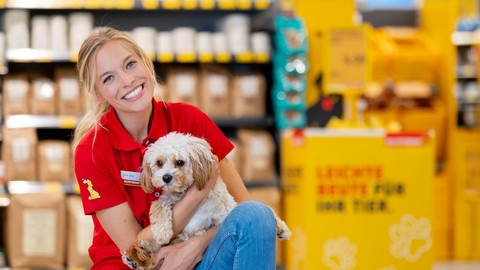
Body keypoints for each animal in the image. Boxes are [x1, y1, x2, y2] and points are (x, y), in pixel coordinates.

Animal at [122, 132, 290, 268]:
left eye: (180, 162)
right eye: (159, 163)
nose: (166, 177)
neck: (183, 193)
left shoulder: (224, 211)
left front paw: (281, 227)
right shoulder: (166, 199)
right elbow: (158, 207)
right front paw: (162, 232)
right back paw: (136, 255)